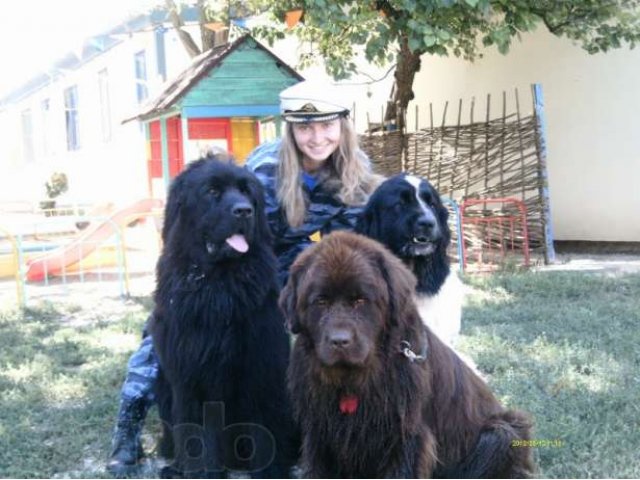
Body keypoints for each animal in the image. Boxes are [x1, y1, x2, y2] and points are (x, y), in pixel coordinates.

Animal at [150, 157, 298, 476]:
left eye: (246, 192)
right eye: (212, 191)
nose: (244, 210)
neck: (220, 287)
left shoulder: (261, 370)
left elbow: (263, 433)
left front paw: (270, 472)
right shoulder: (193, 380)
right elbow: (199, 438)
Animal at [280, 232, 536, 476]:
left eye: (360, 300)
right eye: (320, 301)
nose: (339, 341)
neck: (355, 380)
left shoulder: (405, 437)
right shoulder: (319, 433)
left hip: (503, 432)